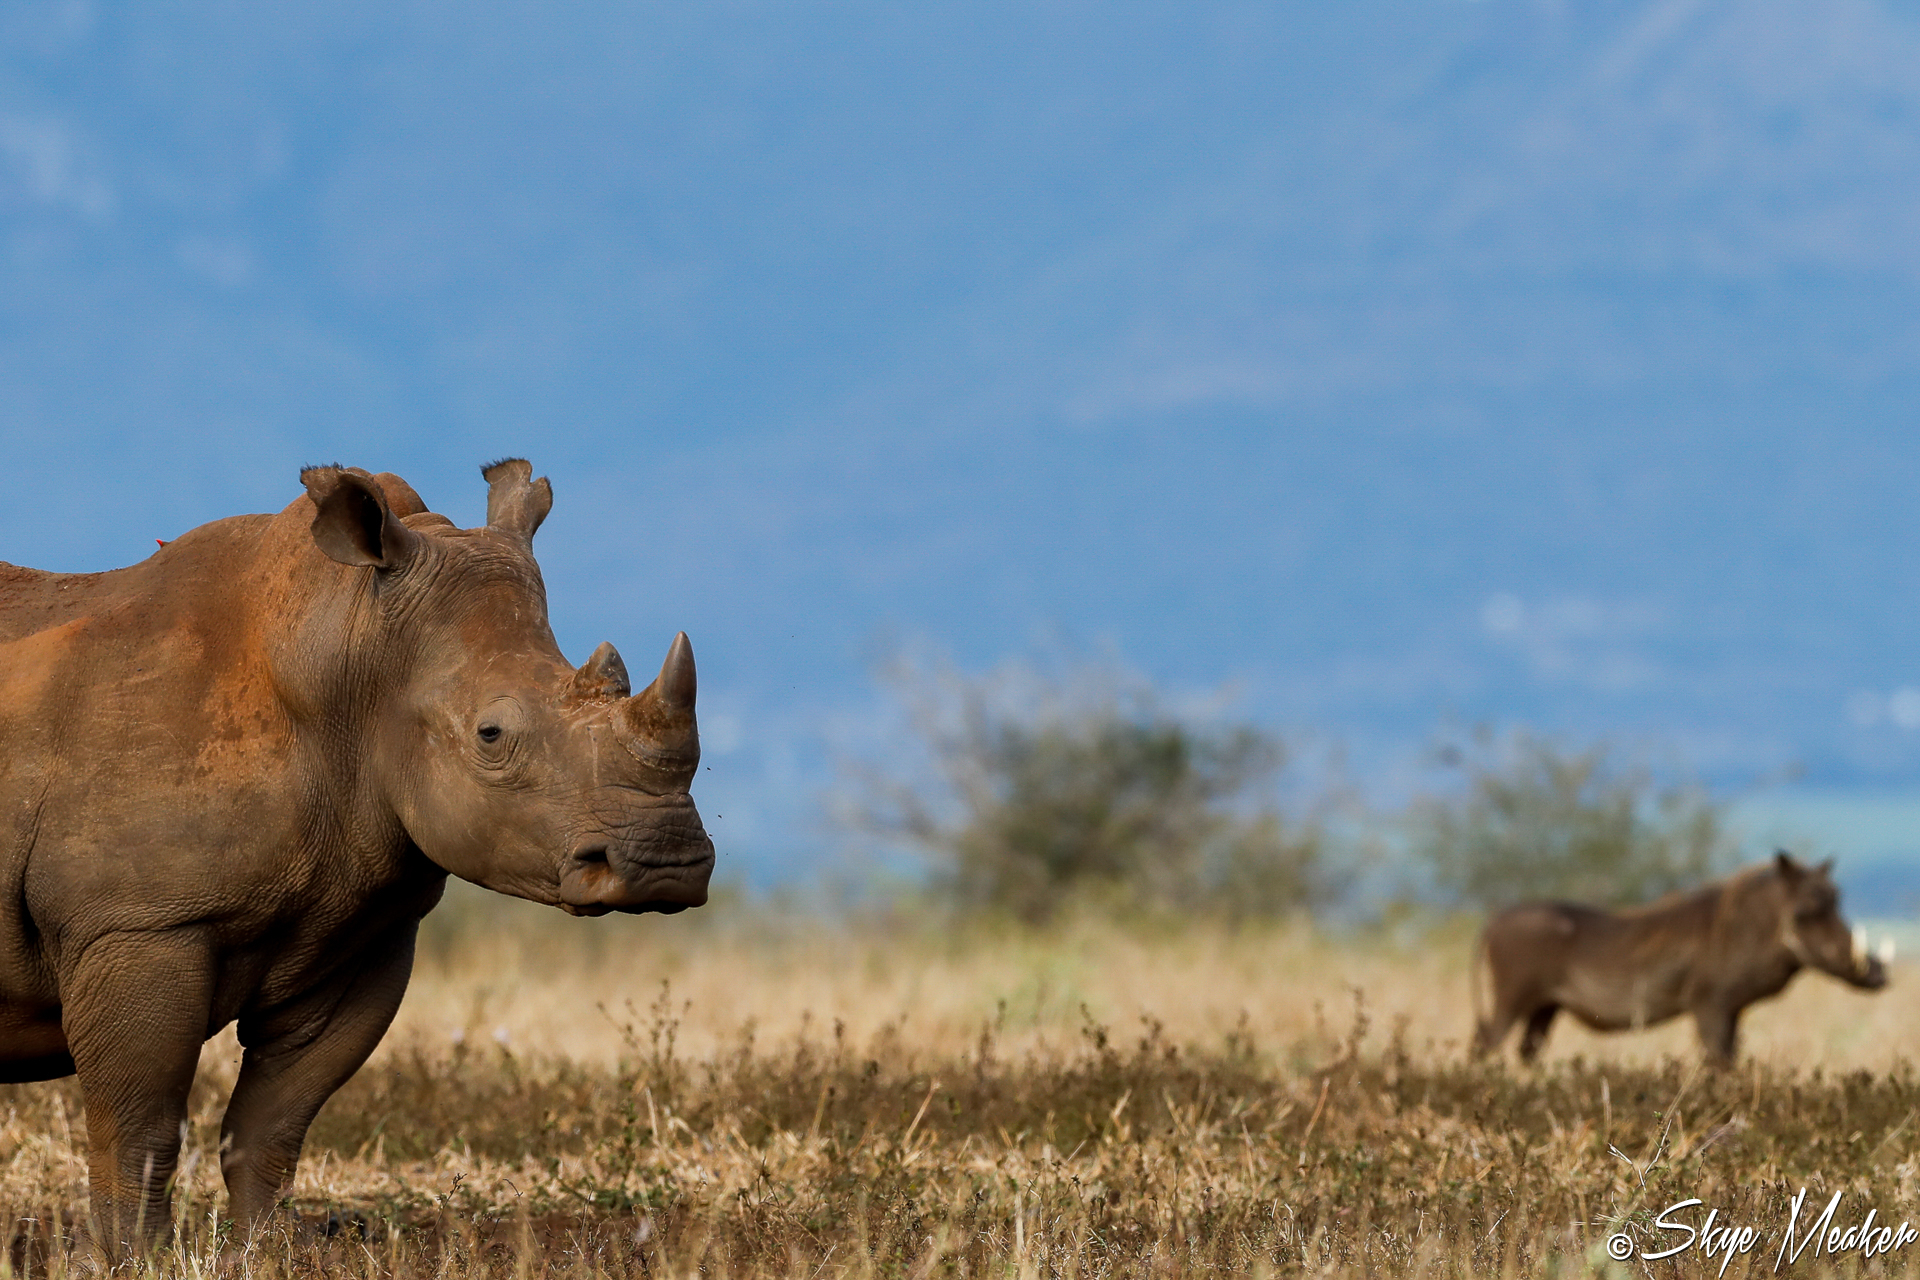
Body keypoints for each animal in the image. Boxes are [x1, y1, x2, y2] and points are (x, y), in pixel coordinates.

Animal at [0, 460, 715, 1250]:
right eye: (491, 735)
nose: (667, 864)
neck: (353, 653)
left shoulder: (362, 920)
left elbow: (279, 1112)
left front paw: (275, 1247)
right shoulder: (139, 921)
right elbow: (139, 1119)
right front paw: (136, 1255)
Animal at [1471, 853, 1890, 1064]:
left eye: (1837, 899)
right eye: (1805, 911)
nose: (1879, 975)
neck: (1753, 927)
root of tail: (1491, 924)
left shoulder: (1733, 1009)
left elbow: (1730, 1056)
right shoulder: (1709, 1004)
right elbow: (1717, 1058)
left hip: (1544, 1008)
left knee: (1527, 1051)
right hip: (1511, 999)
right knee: (1485, 1044)